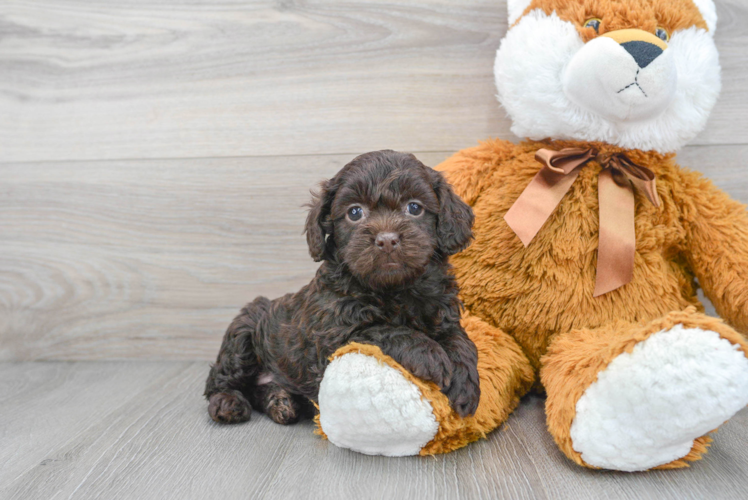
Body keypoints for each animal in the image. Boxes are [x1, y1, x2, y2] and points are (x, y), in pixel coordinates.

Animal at [205, 150, 480, 424]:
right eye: (355, 212)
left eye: (414, 207)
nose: (387, 240)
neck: (394, 288)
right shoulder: (333, 334)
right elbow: (381, 329)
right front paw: (429, 353)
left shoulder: (443, 312)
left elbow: (462, 340)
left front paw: (466, 382)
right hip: (244, 333)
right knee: (220, 379)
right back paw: (228, 402)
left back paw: (280, 402)